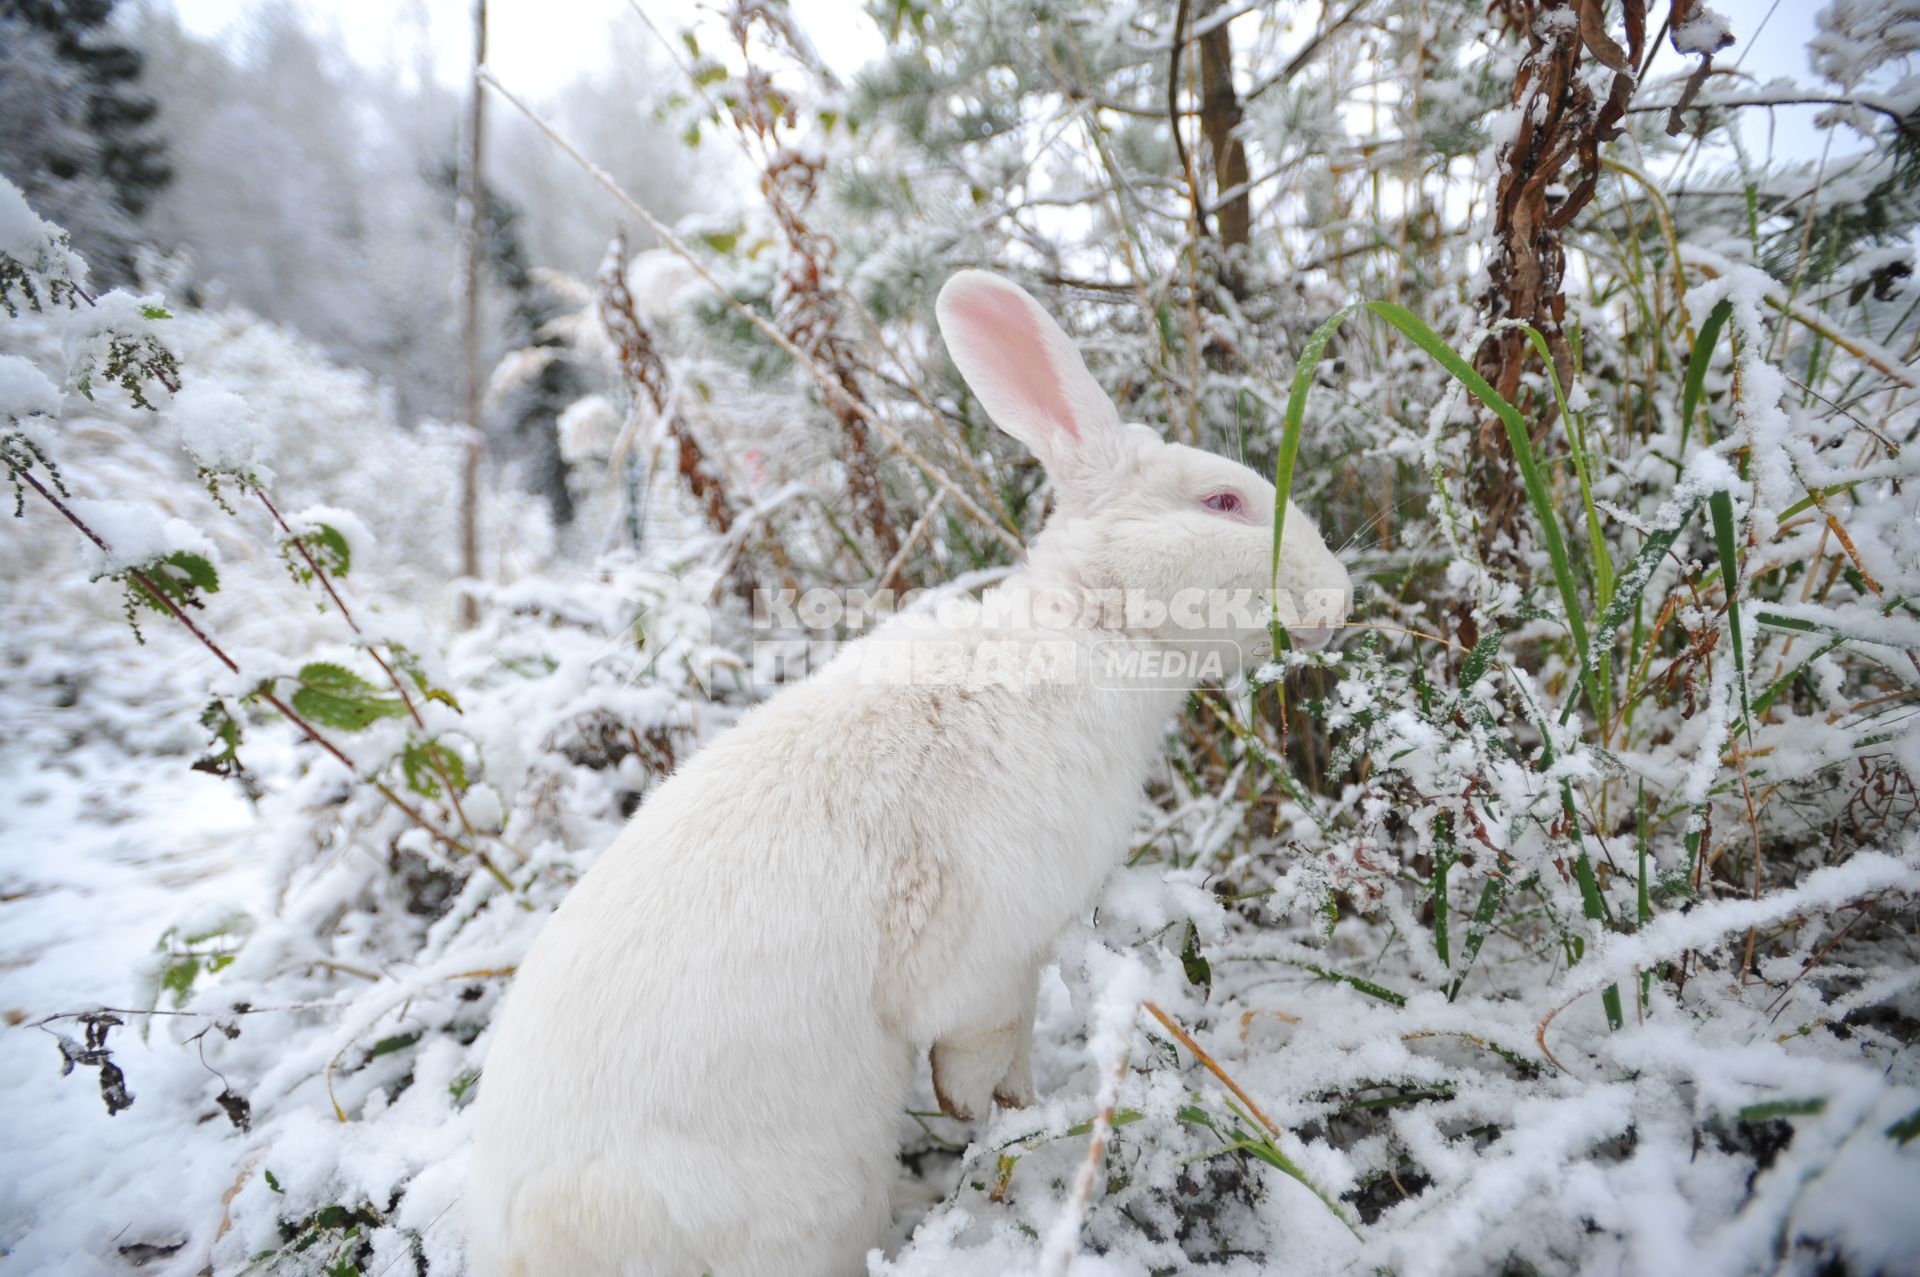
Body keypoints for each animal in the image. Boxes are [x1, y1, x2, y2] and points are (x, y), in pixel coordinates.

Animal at [468, 270, 1351, 1275]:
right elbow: (982, 1049)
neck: (1091, 623)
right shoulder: (990, 959)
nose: (1340, 600)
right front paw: (994, 1124)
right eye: (1224, 503)